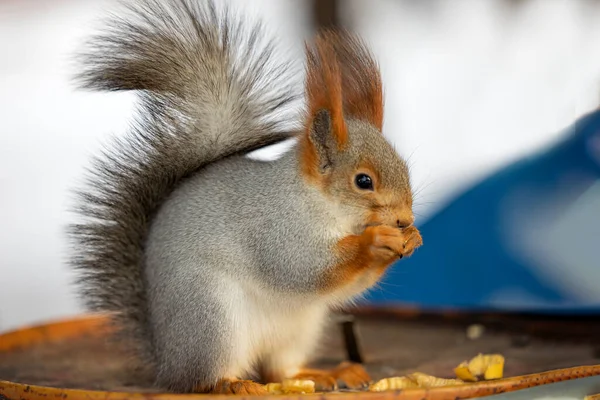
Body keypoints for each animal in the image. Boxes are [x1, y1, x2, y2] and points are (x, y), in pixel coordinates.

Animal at [69, 0, 422, 396]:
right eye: (363, 181)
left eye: (405, 168)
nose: (405, 219)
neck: (322, 206)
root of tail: (166, 360)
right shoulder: (275, 229)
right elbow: (302, 267)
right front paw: (375, 240)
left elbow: (348, 284)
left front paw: (411, 238)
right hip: (211, 317)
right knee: (200, 382)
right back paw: (232, 384)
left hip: (300, 329)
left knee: (278, 371)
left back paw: (326, 374)